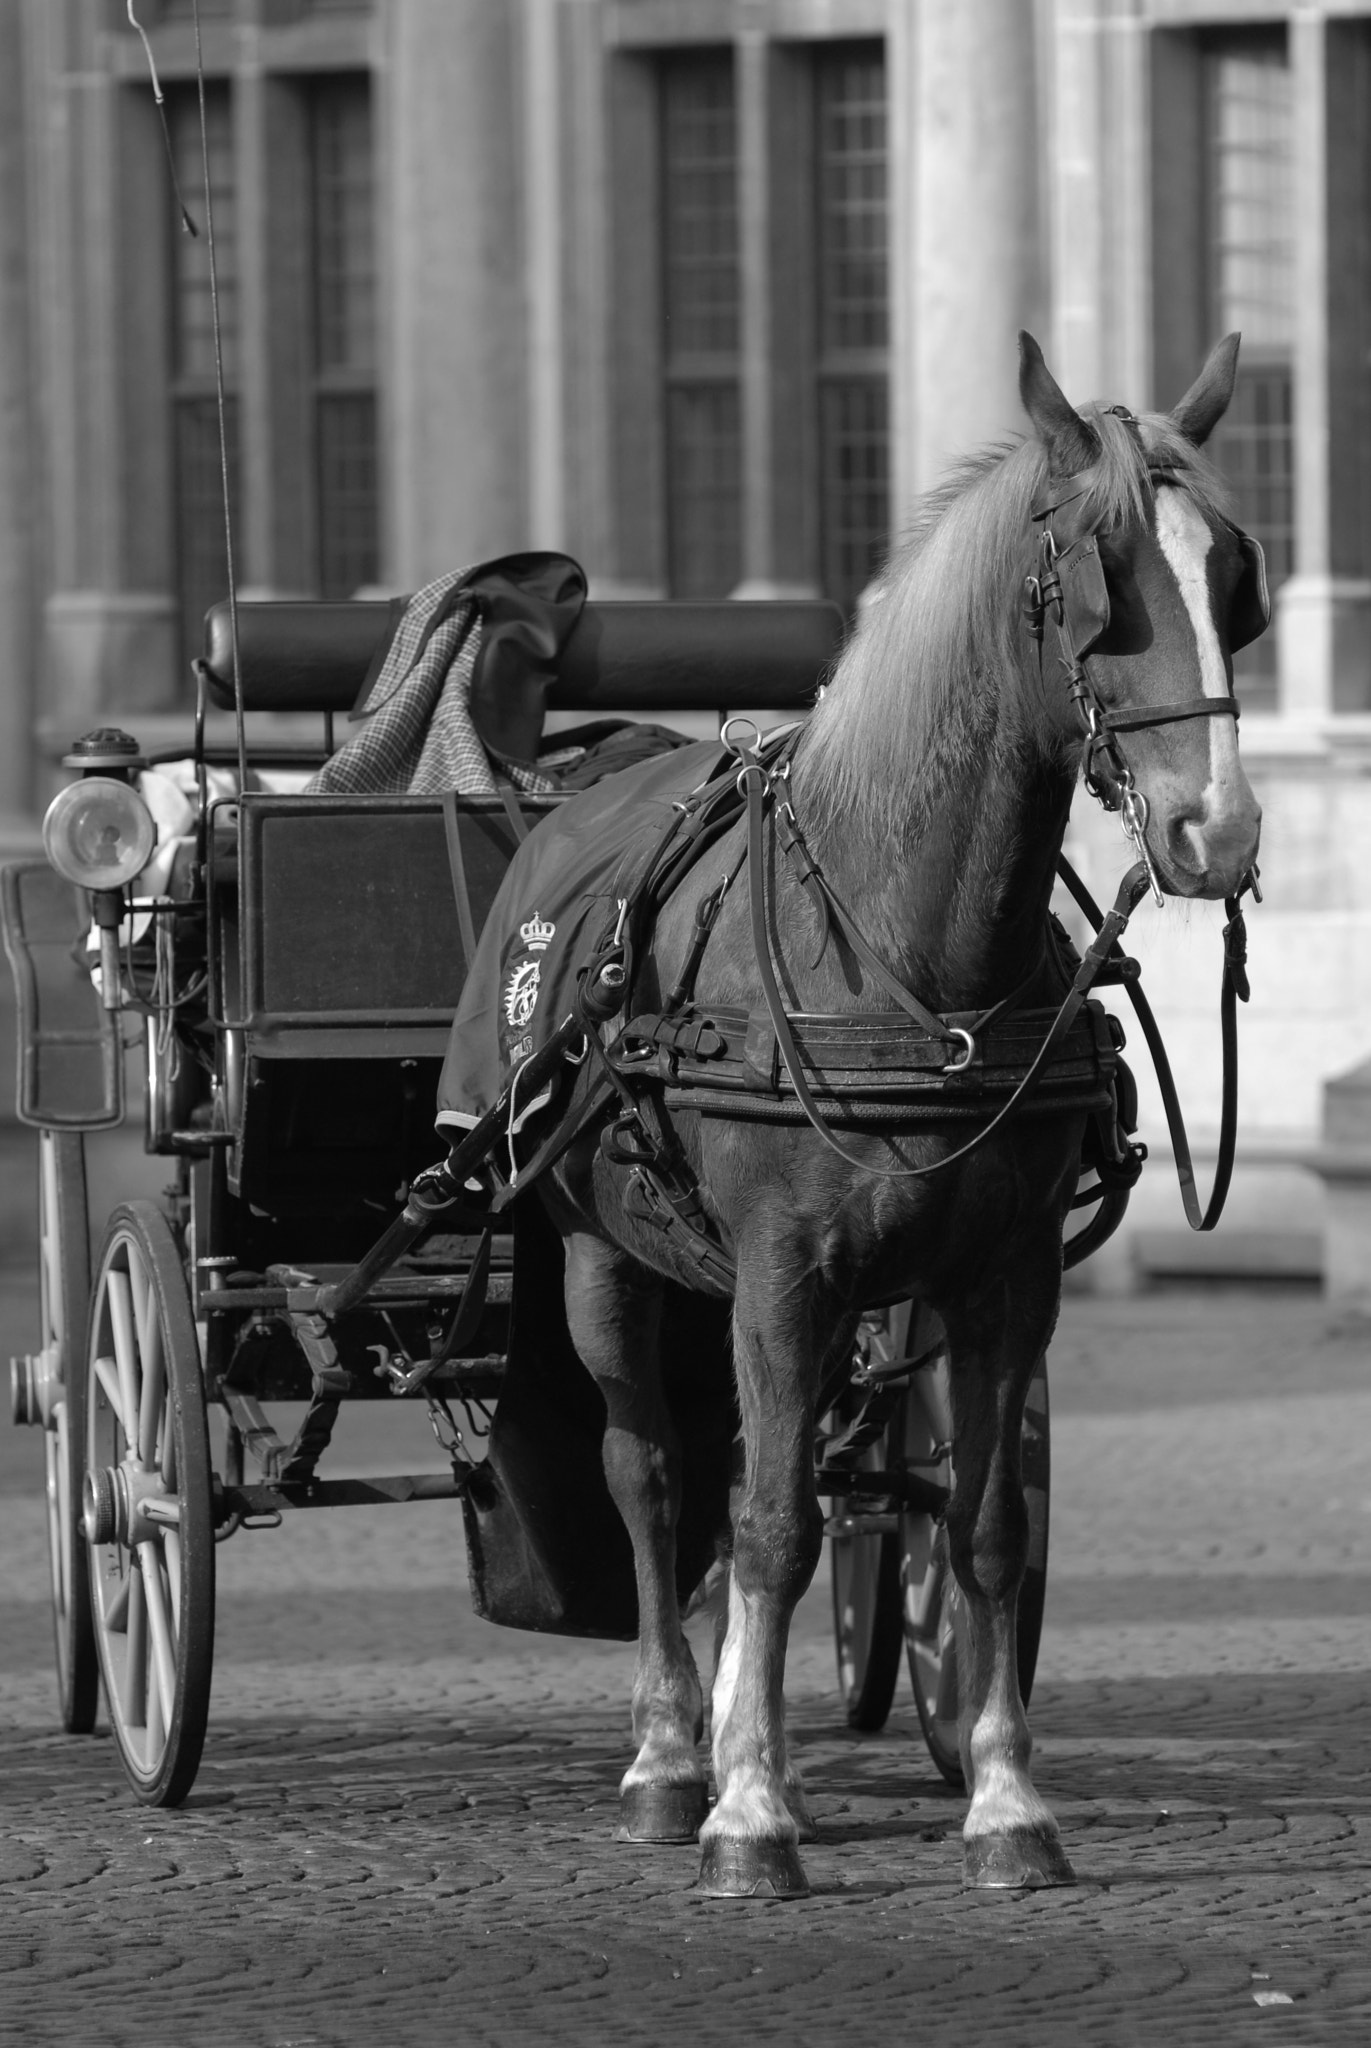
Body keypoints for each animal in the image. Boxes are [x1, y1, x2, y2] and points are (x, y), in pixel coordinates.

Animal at [483, 331, 1262, 1884]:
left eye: (1230, 582)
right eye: (1093, 584)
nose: (1219, 830)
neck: (905, 951)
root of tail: (589, 772)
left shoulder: (1001, 1279)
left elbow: (981, 1528)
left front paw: (1004, 1797)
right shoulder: (783, 1274)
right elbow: (775, 1527)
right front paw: (747, 1815)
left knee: (738, 1478)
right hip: (606, 1260)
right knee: (651, 1478)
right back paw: (673, 1758)